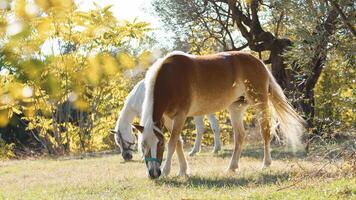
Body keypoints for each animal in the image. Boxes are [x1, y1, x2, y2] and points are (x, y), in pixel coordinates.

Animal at [132, 50, 304, 179]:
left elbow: (173, 142)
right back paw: (232, 167)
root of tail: (259, 62)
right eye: (142, 145)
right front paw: (183, 171)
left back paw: (266, 164)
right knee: (240, 136)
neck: (171, 78)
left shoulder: (180, 116)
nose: (154, 173)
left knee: (265, 132)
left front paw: (167, 171)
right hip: (235, 108)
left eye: (159, 144)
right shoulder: (168, 118)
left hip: (259, 103)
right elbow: (179, 142)